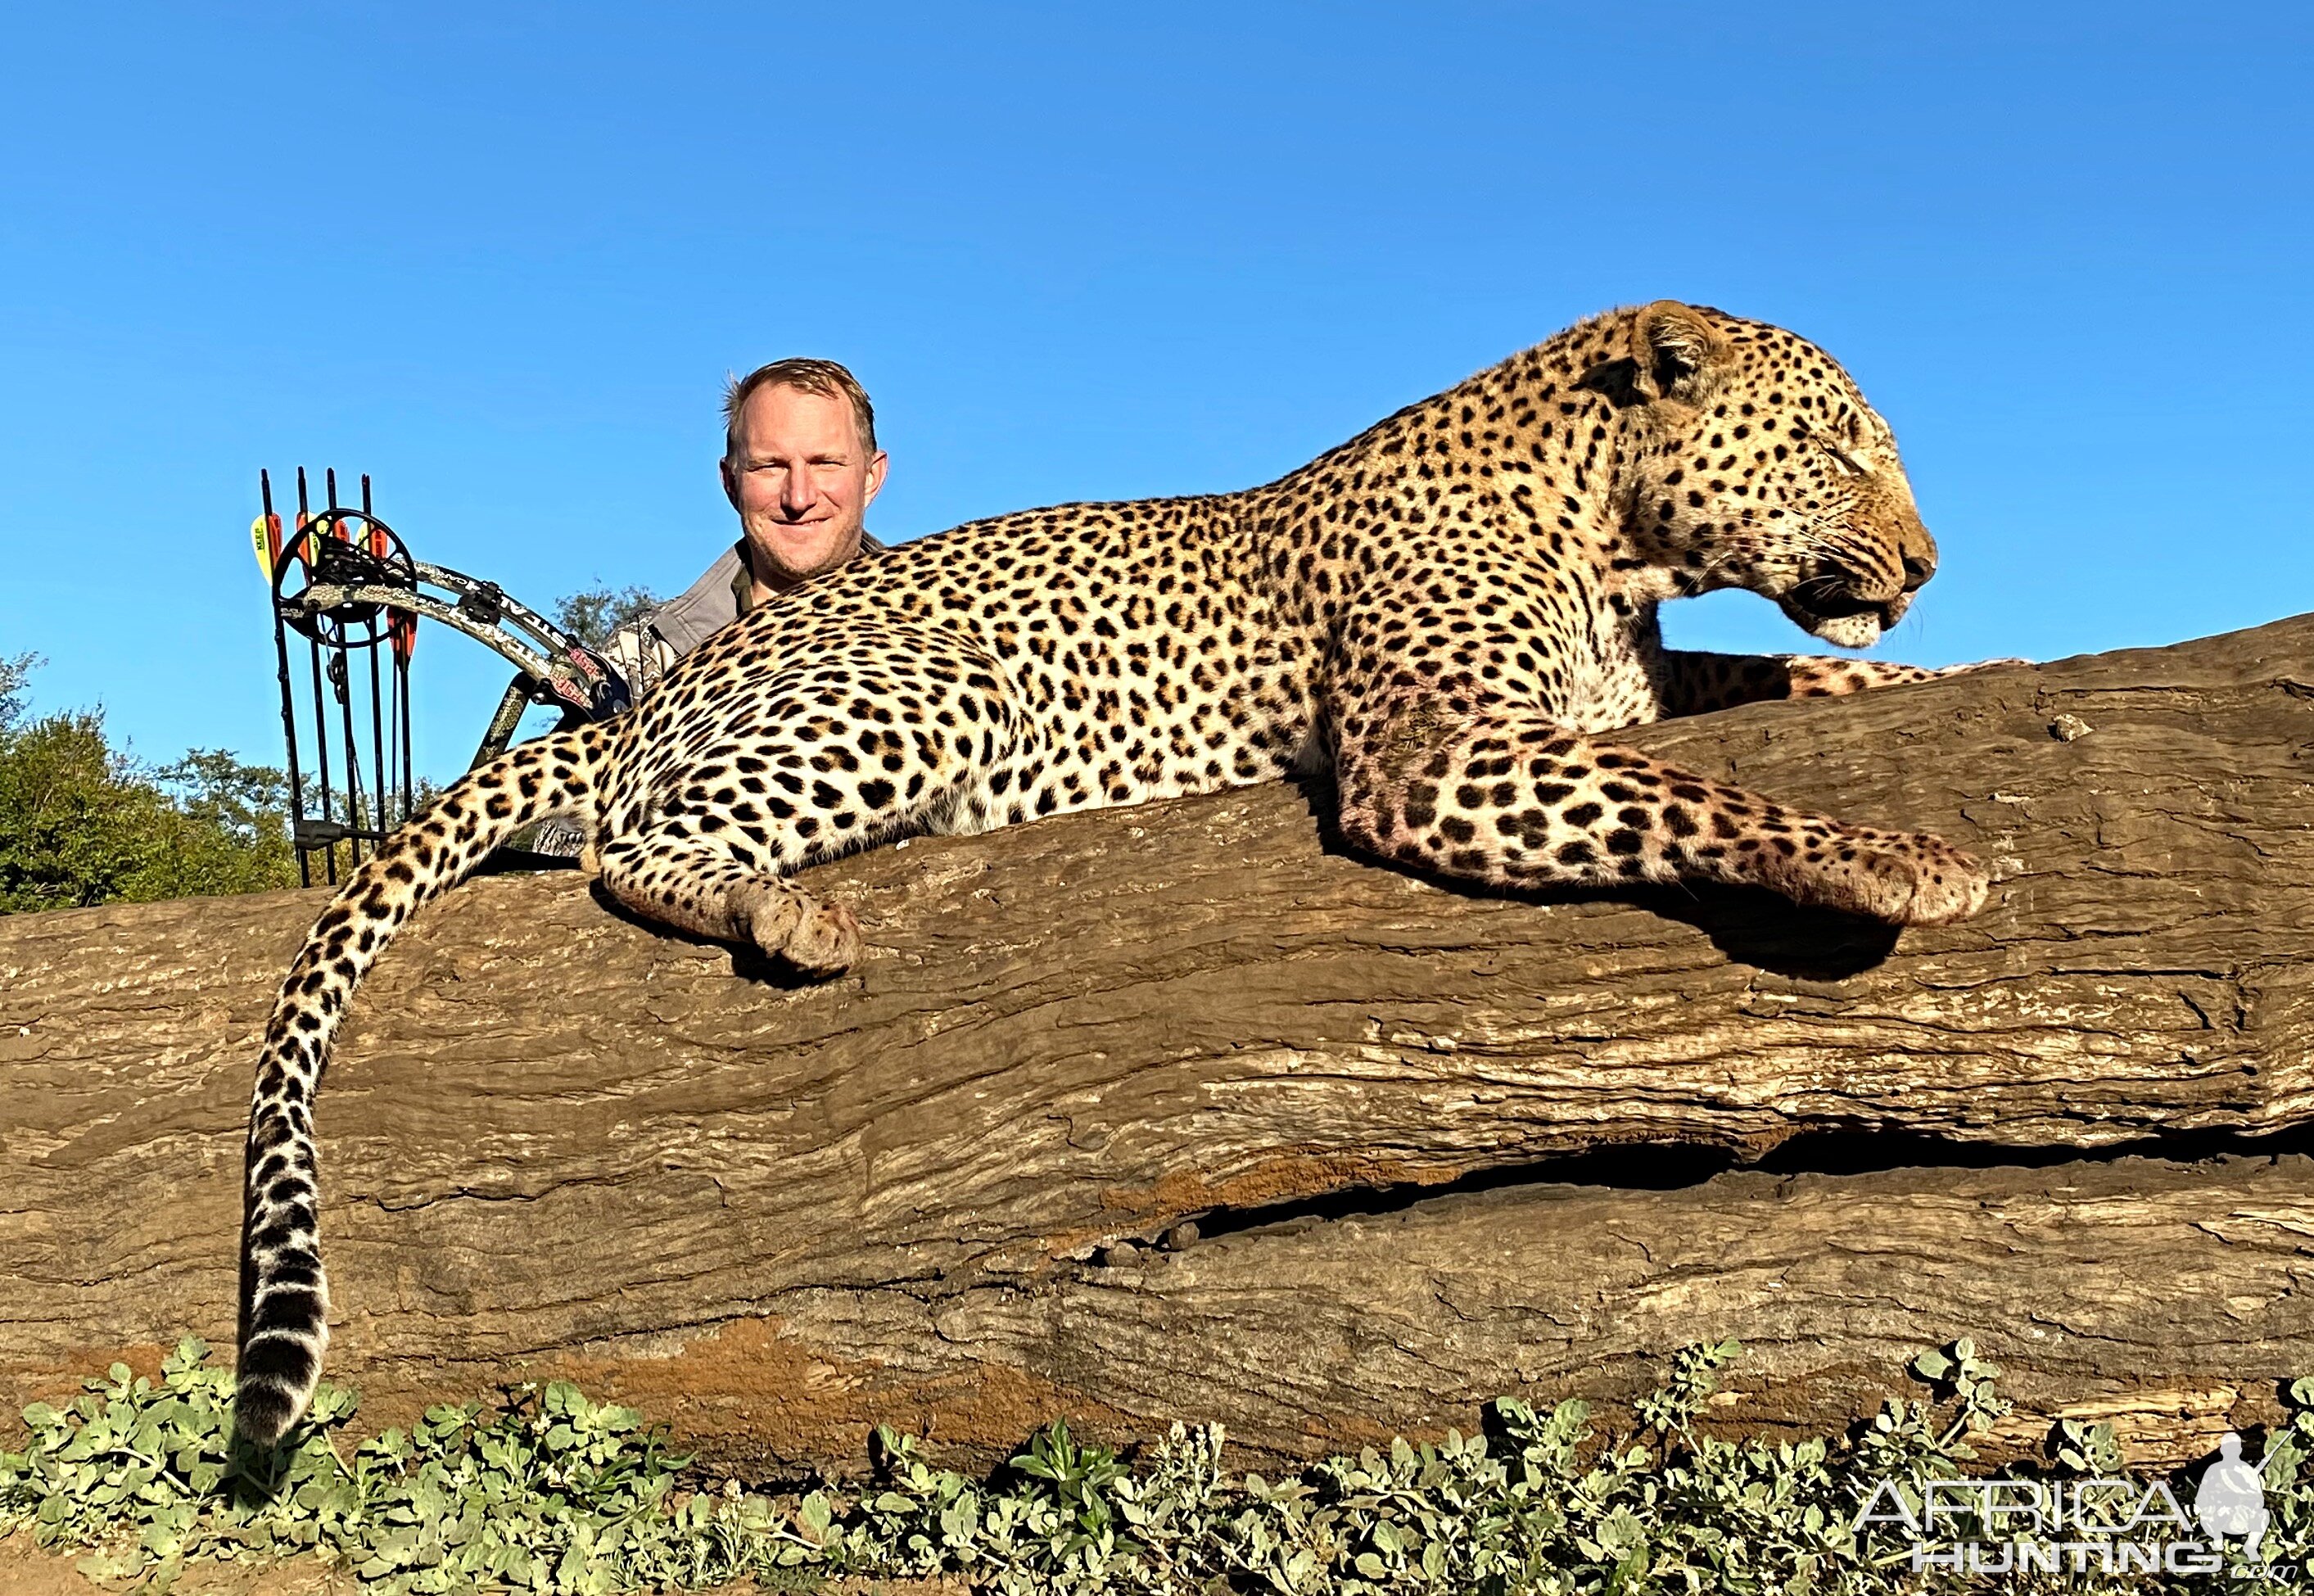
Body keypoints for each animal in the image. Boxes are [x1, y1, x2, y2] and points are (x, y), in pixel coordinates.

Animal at [230, 301, 2008, 1443]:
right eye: (1841, 447)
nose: (1928, 565)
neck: (1604, 530)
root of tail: (658, 681)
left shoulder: (1617, 687)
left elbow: (1754, 683)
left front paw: (1942, 676)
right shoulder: (1432, 752)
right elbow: (1684, 786)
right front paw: (1894, 854)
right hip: (934, 690)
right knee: (625, 843)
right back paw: (785, 907)